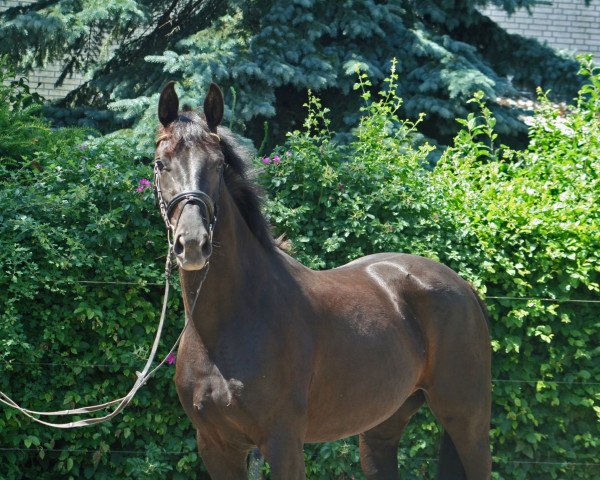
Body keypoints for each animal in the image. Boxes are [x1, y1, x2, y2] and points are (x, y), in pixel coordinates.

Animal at [152, 80, 490, 478]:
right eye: (160, 163)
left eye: (219, 166)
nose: (192, 243)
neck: (226, 325)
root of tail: (465, 288)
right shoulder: (215, 446)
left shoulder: (282, 442)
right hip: (383, 426)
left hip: (468, 421)